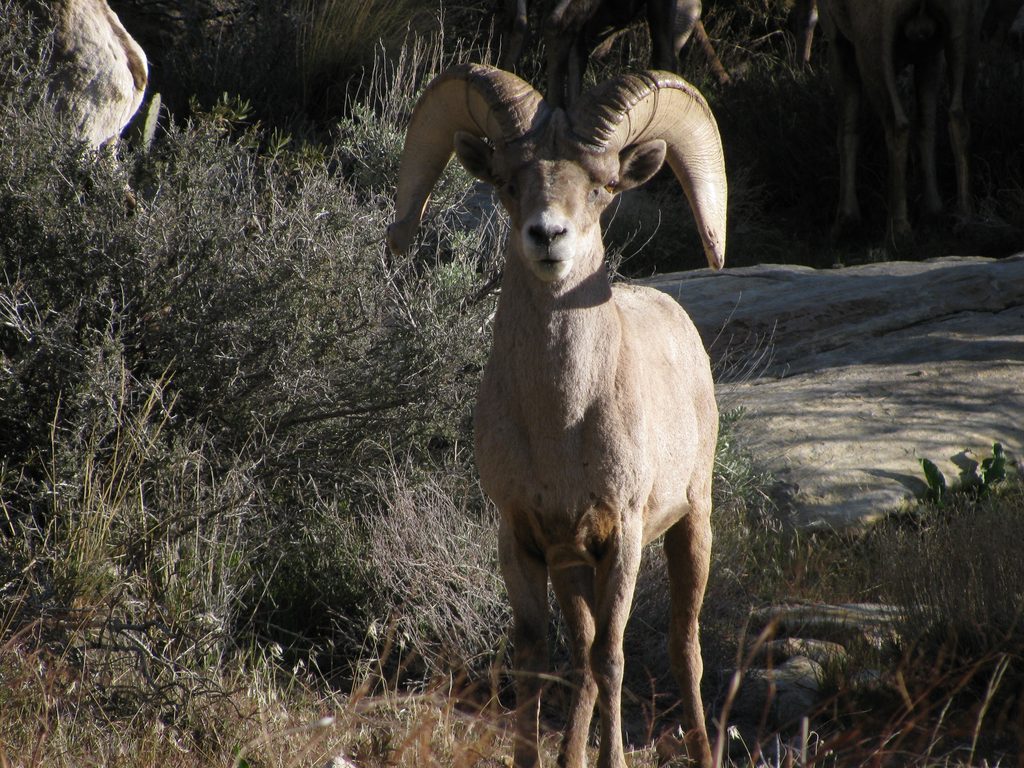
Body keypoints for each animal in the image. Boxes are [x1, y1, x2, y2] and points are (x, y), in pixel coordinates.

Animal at [385, 64, 729, 768]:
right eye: (510, 184)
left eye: (600, 188)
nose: (548, 237)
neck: (561, 426)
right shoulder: (524, 538)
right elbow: (539, 660)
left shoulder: (622, 538)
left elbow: (611, 657)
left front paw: (613, 759)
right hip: (574, 565)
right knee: (582, 652)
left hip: (692, 526)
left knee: (682, 649)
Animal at [815, 0, 983, 246]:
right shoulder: (928, 54)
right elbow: (926, 126)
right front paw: (933, 211)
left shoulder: (838, 41)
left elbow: (848, 130)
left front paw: (844, 223)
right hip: (962, 32)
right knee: (958, 115)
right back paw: (965, 219)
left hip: (873, 44)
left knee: (897, 124)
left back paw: (898, 231)